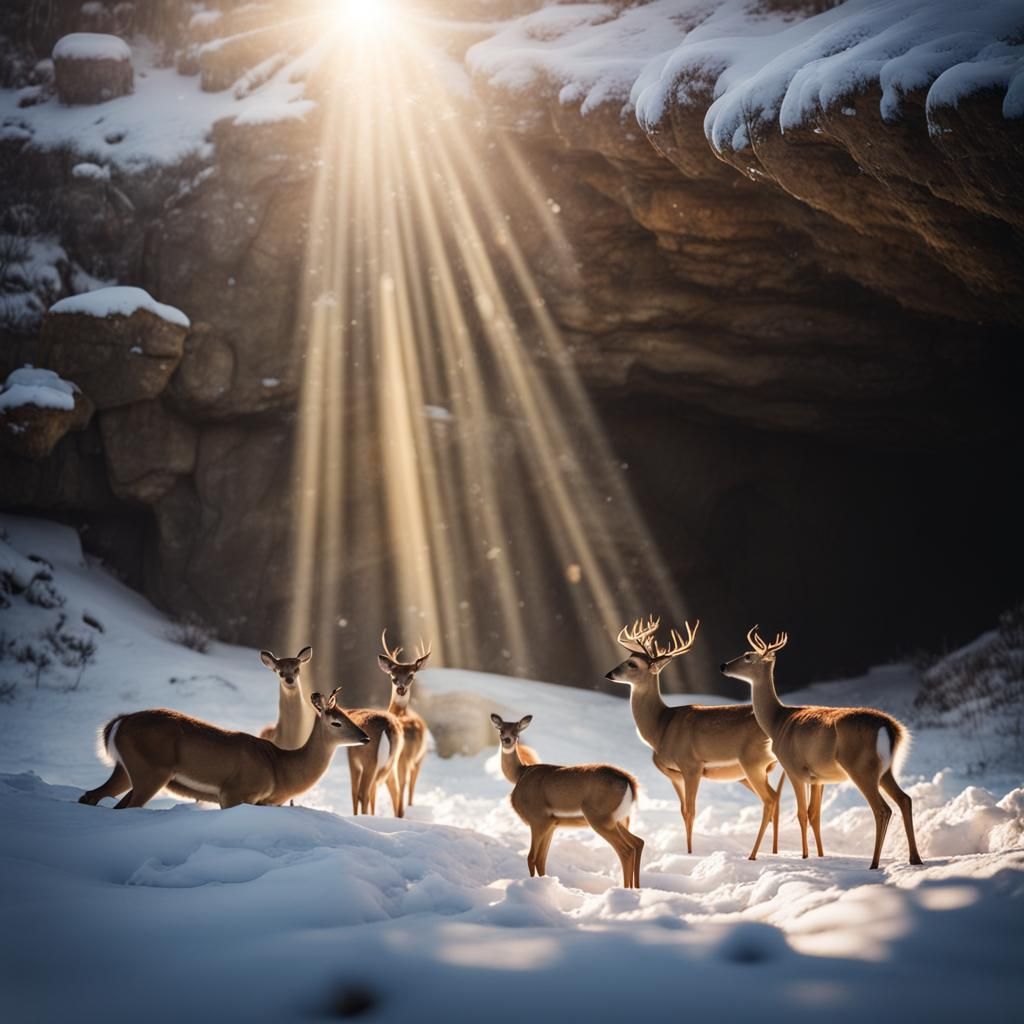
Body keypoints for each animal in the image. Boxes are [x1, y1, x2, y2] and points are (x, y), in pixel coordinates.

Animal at [78, 689, 370, 809]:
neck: (281, 769)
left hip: (127, 770)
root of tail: (120, 721)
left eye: (349, 715)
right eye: (336, 722)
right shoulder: (234, 792)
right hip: (151, 772)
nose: (365, 737)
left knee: (92, 796)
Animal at [377, 630, 431, 815]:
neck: (400, 712)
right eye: (393, 676)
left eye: (411, 676)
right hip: (407, 759)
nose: (401, 688)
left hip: (409, 759)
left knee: (403, 786)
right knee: (403, 786)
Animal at [490, 713, 645, 888]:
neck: (520, 774)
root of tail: (629, 781)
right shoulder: (551, 824)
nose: (507, 740)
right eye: (501, 730)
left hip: (599, 816)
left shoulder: (538, 818)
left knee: (626, 850)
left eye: (517, 732)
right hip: (619, 819)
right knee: (638, 842)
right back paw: (636, 888)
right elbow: (541, 860)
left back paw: (626, 889)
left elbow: (531, 858)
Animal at [605, 616, 782, 861]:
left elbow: (691, 811)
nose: (609, 674)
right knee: (776, 797)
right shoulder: (675, 774)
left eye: (633, 664)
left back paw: (755, 854)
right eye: (627, 658)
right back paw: (774, 850)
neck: (661, 726)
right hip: (748, 773)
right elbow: (682, 811)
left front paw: (689, 853)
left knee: (770, 799)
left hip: (752, 763)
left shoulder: (691, 765)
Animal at [721, 627, 923, 870]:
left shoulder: (794, 769)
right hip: (886, 770)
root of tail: (890, 727)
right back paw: (915, 858)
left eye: (748, 656)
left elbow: (801, 813)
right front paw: (818, 854)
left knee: (882, 809)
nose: (723, 665)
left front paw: (805, 856)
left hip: (861, 767)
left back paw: (874, 863)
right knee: (905, 799)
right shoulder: (817, 777)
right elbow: (814, 814)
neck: (777, 722)